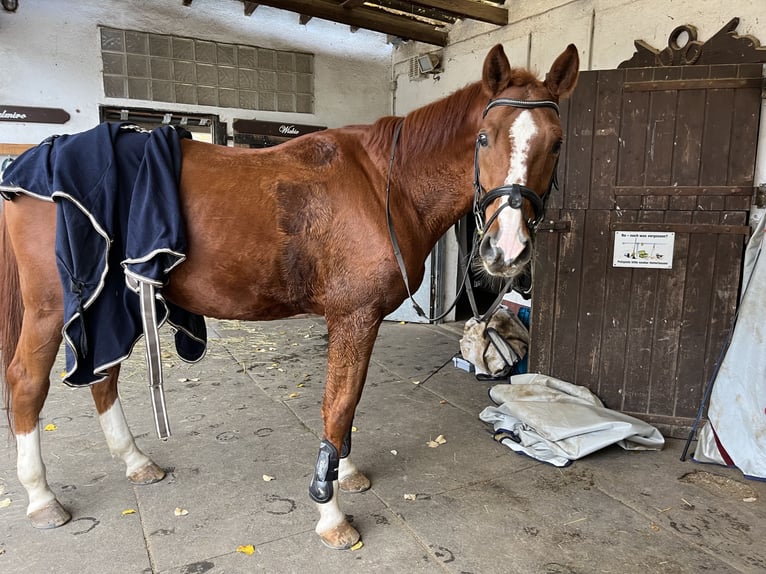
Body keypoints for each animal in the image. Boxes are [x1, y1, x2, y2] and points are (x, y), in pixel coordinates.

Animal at [0, 44, 580, 548]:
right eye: (483, 138)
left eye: (557, 144)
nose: (507, 250)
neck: (385, 184)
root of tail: (24, 166)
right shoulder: (353, 316)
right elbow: (337, 404)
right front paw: (330, 513)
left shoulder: (361, 320)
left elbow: (348, 403)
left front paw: (345, 470)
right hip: (52, 311)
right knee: (26, 384)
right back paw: (41, 497)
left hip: (109, 300)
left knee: (104, 376)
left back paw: (136, 462)